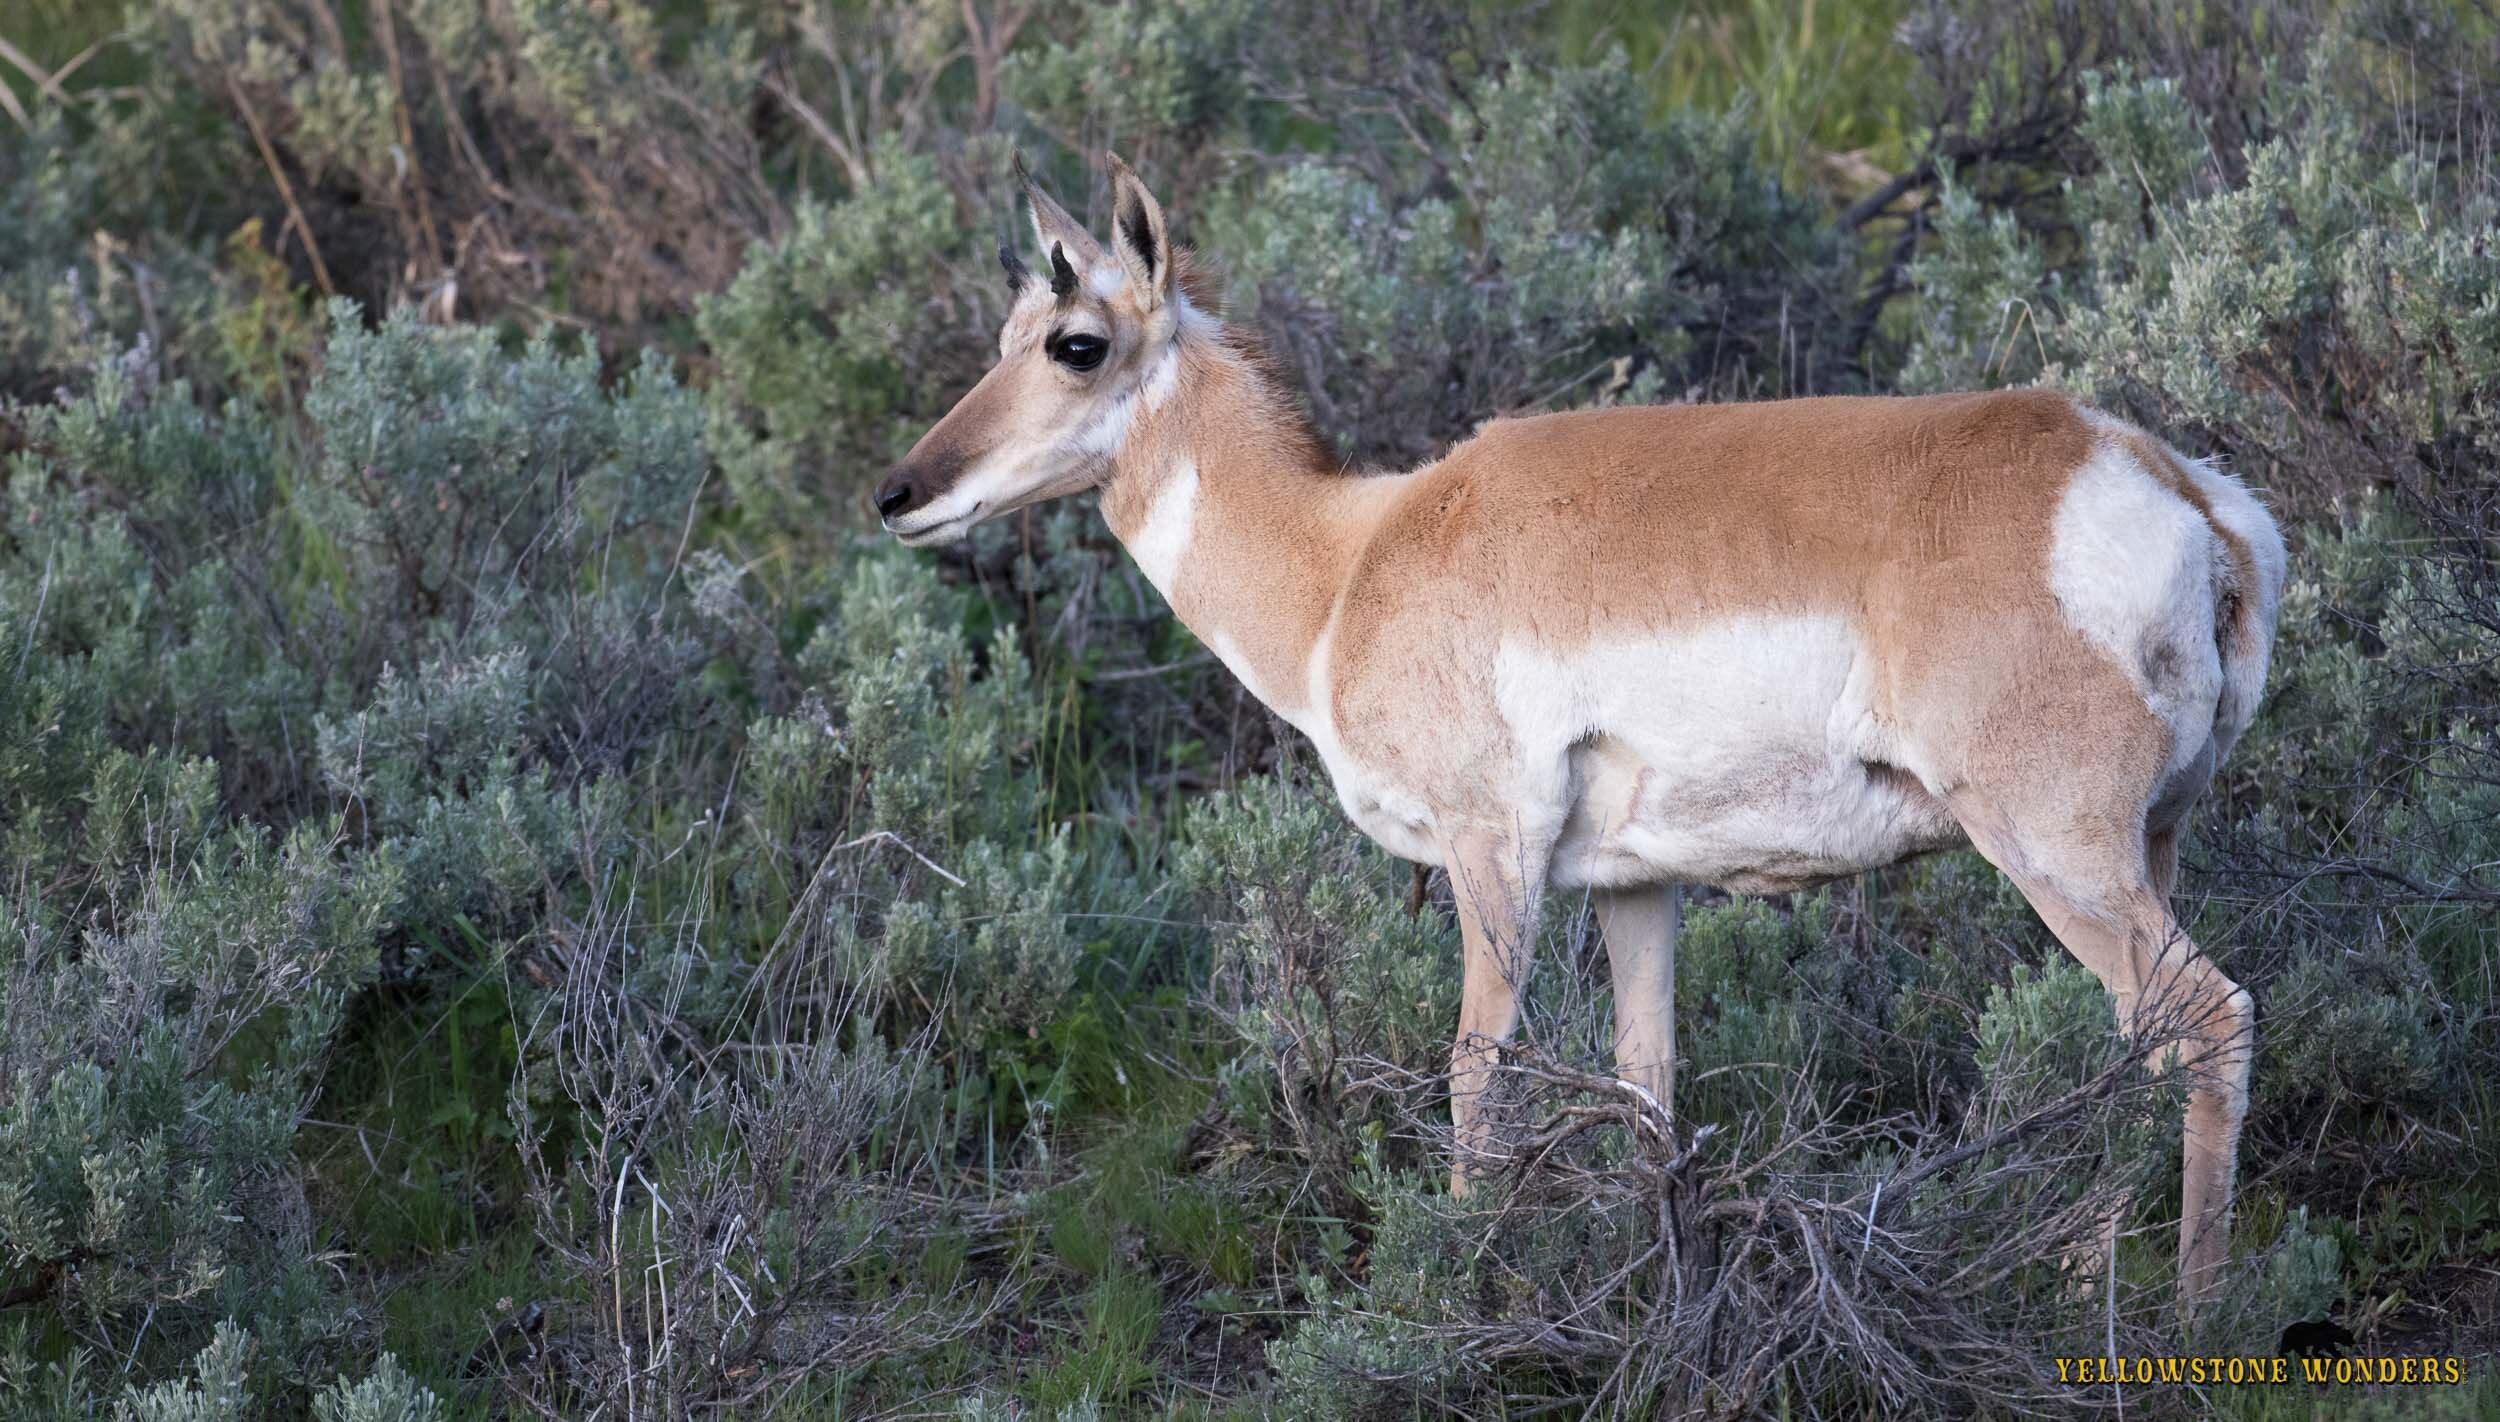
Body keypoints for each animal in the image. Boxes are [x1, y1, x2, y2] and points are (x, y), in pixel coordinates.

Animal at [875, 152, 2290, 1299]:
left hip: (2058, 854)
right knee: (2139, 1045)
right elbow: (1644, 1083)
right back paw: (2081, 1271)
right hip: (2145, 849)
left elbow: (1474, 1073)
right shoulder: (1631, 886)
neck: (1352, 561)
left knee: (2208, 1021)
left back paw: (2188, 1312)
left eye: (1074, 342)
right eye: (1006, 329)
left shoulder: (1488, 851)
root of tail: (2170, 486)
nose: (898, 493)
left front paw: (1447, 1291)